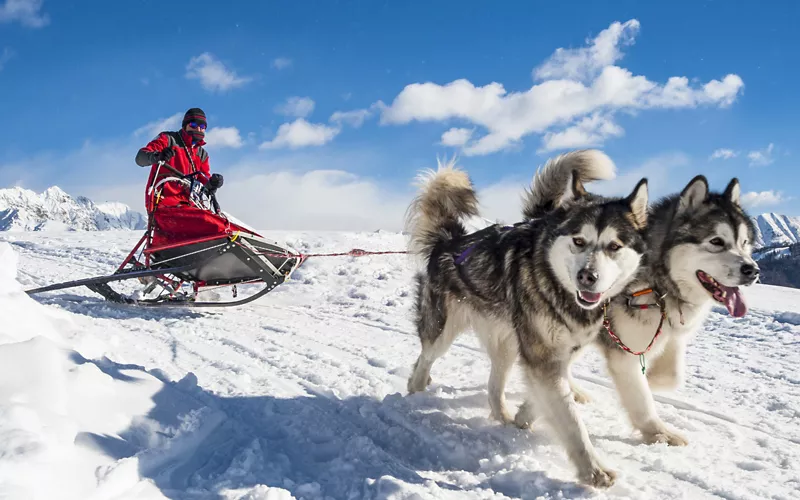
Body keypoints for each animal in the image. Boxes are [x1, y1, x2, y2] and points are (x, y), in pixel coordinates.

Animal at [406, 149, 648, 488]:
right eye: (578, 241)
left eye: (614, 246)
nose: (588, 277)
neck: (557, 287)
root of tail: (449, 242)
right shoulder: (543, 356)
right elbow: (572, 422)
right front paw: (593, 469)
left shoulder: (558, 354)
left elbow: (552, 397)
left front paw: (524, 416)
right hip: (443, 330)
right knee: (424, 358)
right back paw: (415, 392)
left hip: (507, 343)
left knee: (494, 386)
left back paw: (503, 416)